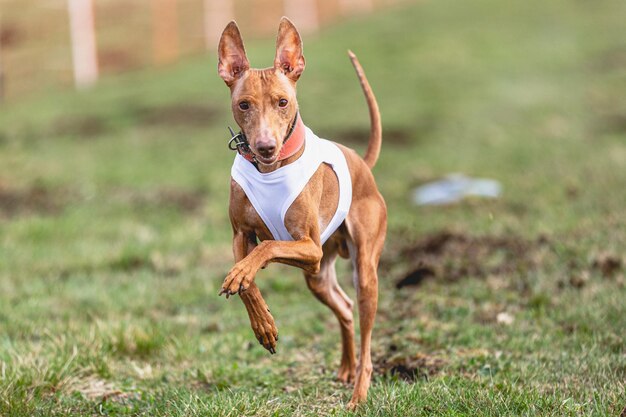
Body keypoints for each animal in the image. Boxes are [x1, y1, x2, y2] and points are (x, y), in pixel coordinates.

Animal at [216, 18, 386, 406]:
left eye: (283, 102)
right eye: (244, 105)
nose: (265, 147)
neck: (270, 169)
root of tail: (363, 164)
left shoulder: (309, 247)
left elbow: (267, 247)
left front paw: (244, 277)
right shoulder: (241, 236)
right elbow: (247, 282)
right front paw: (264, 326)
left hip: (360, 271)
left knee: (367, 334)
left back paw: (359, 392)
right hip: (318, 277)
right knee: (345, 308)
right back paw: (346, 368)